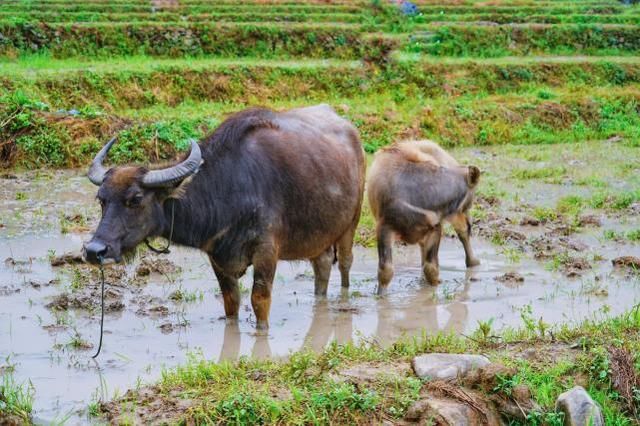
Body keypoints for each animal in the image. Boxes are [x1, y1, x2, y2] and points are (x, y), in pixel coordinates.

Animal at [84, 105, 364, 330]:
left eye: (136, 199)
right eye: (101, 199)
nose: (94, 250)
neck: (230, 189)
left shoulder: (266, 251)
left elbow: (259, 300)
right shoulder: (217, 258)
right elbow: (231, 302)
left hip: (352, 222)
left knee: (345, 263)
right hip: (320, 233)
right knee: (323, 265)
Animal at [368, 140, 478, 292]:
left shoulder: (435, 228)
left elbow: (431, 269)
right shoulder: (384, 228)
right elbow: (385, 271)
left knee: (462, 232)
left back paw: (473, 262)